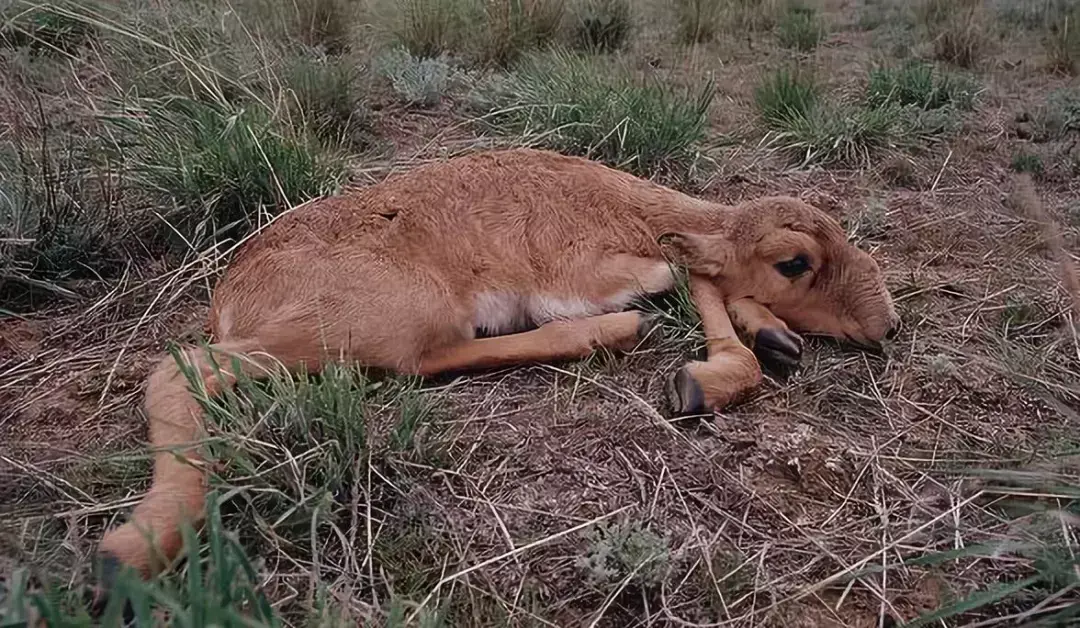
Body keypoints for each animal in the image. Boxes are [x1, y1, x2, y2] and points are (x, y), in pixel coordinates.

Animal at [95, 149, 902, 592]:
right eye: (794, 261)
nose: (888, 324)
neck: (632, 212)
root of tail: (230, 299)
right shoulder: (595, 270)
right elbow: (690, 272)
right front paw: (714, 371)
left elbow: (703, 279)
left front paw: (769, 337)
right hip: (382, 315)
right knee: (179, 373)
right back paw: (133, 549)